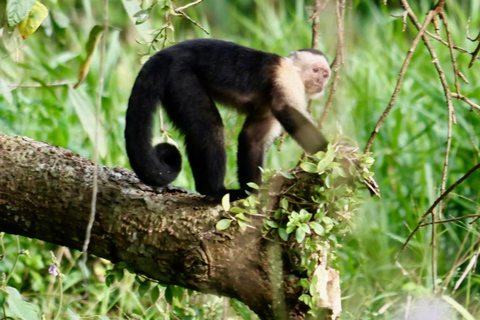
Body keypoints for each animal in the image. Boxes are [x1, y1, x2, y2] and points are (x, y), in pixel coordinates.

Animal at [125, 38, 332, 201]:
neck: (294, 70)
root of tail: (163, 55)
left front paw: (252, 190)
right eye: (315, 70)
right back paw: (215, 191)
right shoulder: (286, 78)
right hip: (179, 76)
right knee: (209, 127)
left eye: (325, 74)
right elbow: (286, 110)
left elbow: (253, 137)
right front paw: (329, 155)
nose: (321, 81)